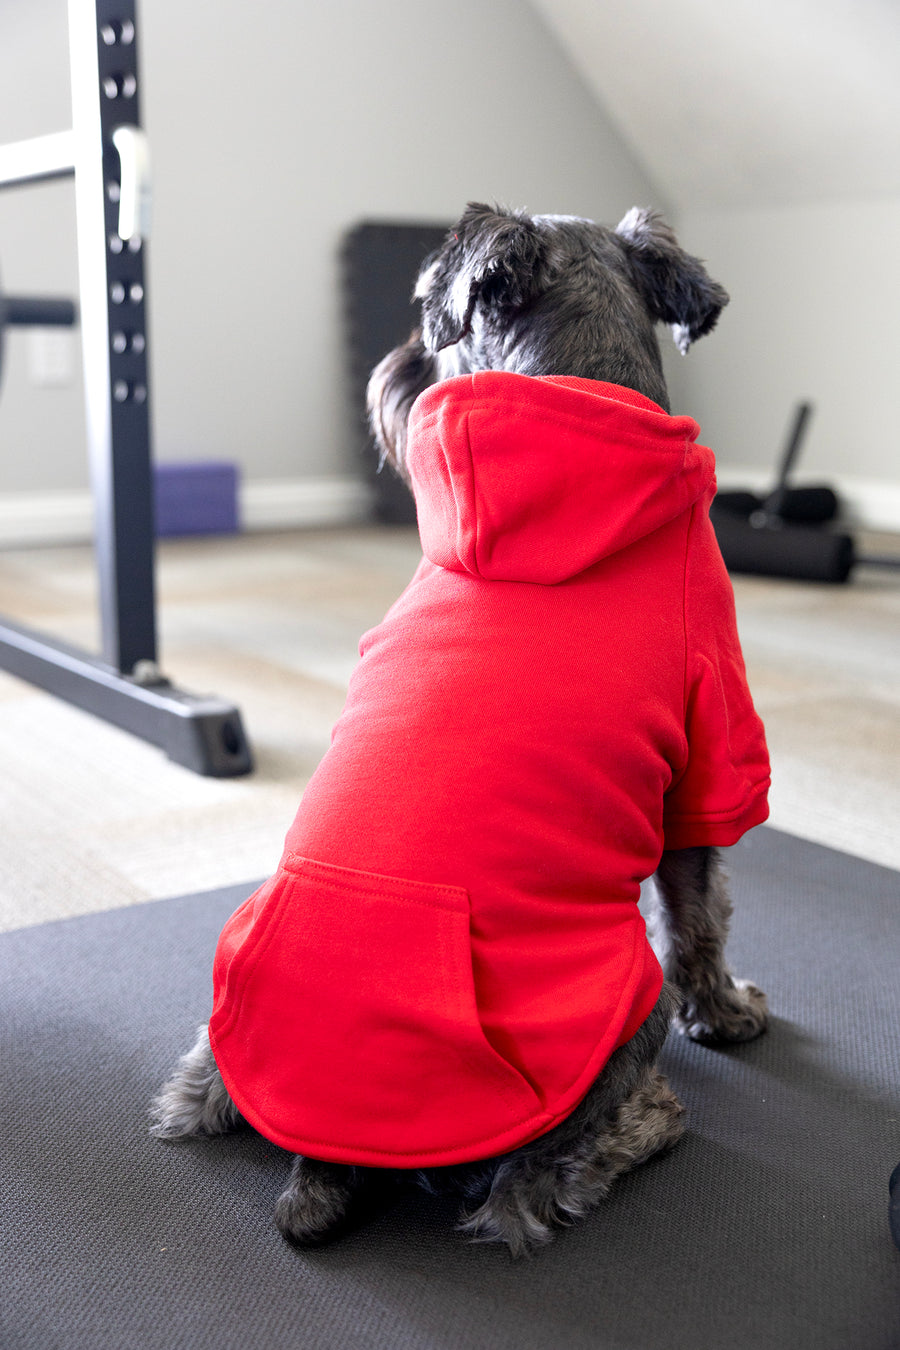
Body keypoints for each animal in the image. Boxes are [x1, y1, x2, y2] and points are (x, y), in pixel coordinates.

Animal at [151, 199, 771, 1252]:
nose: (397, 363)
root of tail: (331, 1151)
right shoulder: (706, 761)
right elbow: (700, 917)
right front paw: (726, 1015)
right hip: (619, 1002)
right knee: (532, 1188)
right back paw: (649, 1122)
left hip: (223, 1010)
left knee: (197, 1092)